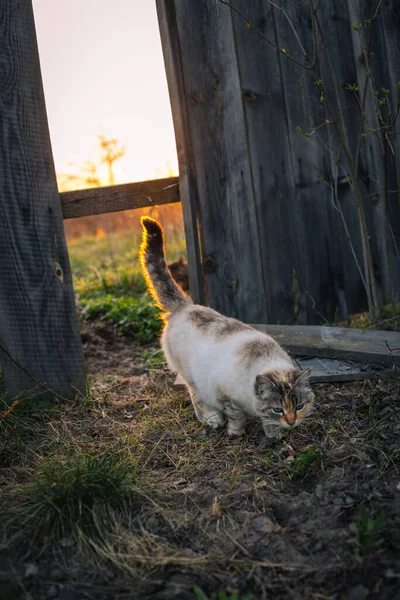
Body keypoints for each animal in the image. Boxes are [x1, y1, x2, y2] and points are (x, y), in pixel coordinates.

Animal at [139, 218, 314, 438]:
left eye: (299, 406)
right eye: (278, 409)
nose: (291, 422)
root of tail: (185, 305)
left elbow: (268, 423)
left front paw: (274, 434)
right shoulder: (226, 396)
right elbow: (237, 416)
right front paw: (235, 432)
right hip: (192, 377)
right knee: (197, 397)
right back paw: (212, 420)